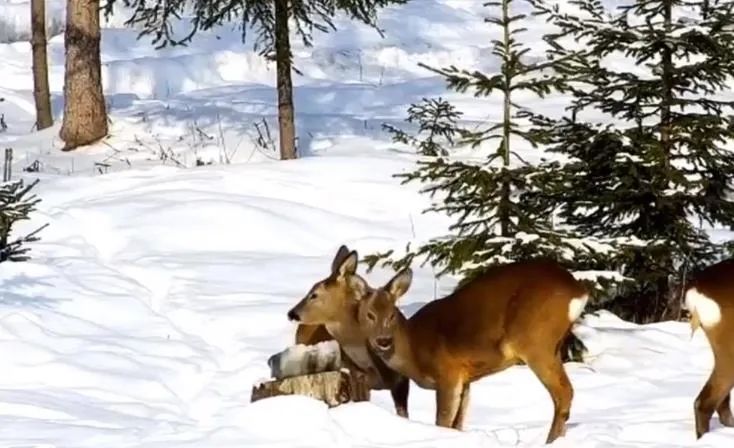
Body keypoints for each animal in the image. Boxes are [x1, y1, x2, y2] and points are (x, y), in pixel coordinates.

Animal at [356, 260, 592, 444]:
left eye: (392, 315)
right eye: (369, 315)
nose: (384, 341)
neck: (414, 347)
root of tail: (578, 291)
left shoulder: (448, 372)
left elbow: (442, 421)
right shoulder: (466, 378)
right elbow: (458, 423)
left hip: (536, 341)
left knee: (564, 392)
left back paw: (550, 441)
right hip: (554, 344)